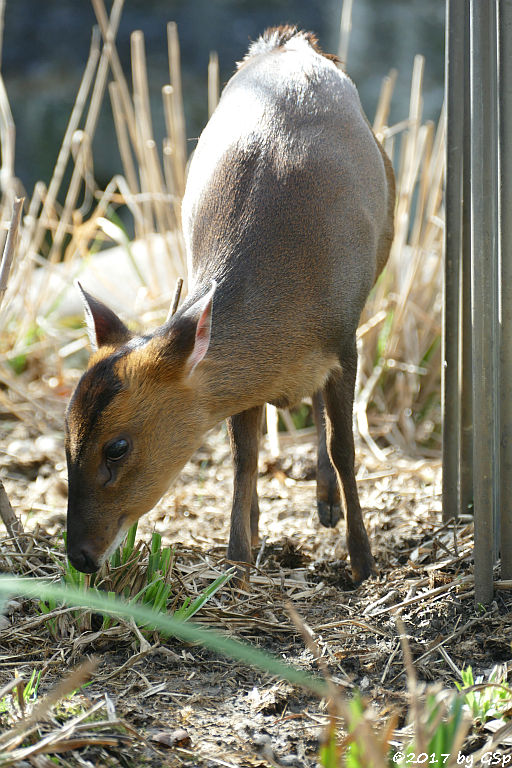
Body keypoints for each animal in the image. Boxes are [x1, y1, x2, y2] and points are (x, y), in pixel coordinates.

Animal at [66, 27, 394, 584]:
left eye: (117, 447)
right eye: (66, 436)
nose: (78, 556)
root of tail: (290, 42)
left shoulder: (344, 335)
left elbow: (344, 448)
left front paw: (363, 561)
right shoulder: (246, 380)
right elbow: (244, 454)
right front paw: (239, 558)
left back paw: (328, 505)